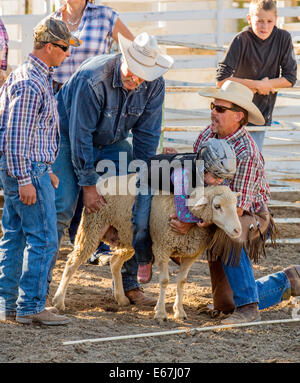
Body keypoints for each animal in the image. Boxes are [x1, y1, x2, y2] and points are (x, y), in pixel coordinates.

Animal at [53, 174, 241, 320]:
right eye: (217, 206)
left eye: (235, 205)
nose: (237, 230)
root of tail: (101, 182)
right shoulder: (162, 247)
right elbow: (164, 281)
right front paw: (160, 313)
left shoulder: (190, 254)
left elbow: (181, 281)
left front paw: (179, 312)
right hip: (92, 226)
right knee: (72, 262)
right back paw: (59, 301)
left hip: (127, 237)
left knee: (115, 262)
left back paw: (121, 298)